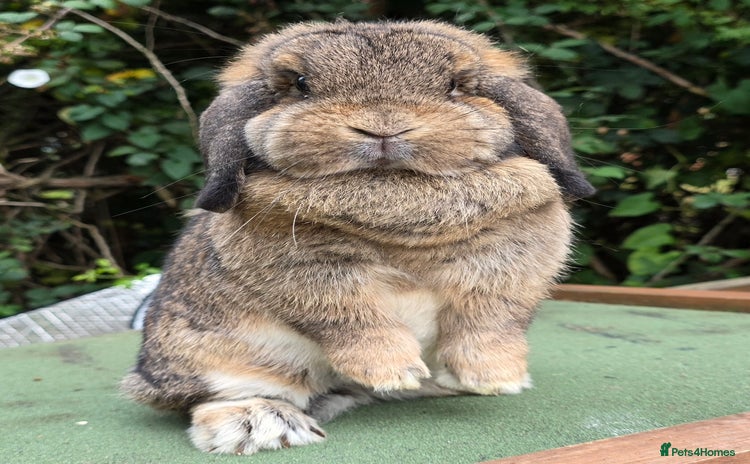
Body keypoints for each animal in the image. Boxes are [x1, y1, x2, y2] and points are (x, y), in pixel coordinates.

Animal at [121, 20, 594, 455]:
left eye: (456, 86)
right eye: (301, 84)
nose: (383, 127)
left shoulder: (511, 269)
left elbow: (491, 323)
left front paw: (495, 379)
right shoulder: (312, 275)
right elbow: (354, 319)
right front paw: (394, 372)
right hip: (215, 355)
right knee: (211, 398)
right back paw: (264, 425)